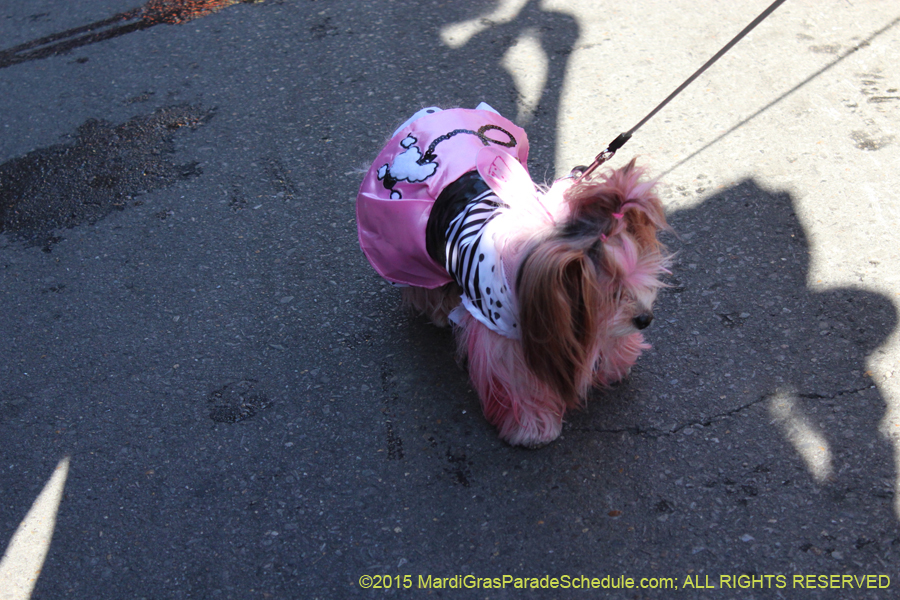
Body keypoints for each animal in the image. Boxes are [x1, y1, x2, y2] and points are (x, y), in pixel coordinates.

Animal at [358, 105, 668, 448]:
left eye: (642, 281)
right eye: (611, 293)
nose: (645, 319)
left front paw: (617, 362)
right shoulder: (504, 337)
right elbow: (519, 383)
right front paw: (532, 429)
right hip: (408, 247)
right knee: (422, 284)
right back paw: (438, 310)